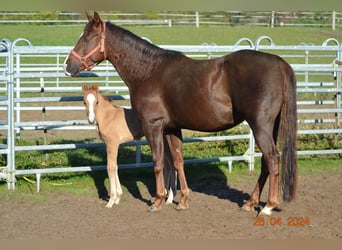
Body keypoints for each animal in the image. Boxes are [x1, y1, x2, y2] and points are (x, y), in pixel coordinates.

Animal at [64, 11, 296, 215]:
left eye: (88, 37)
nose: (68, 66)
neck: (148, 71)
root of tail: (279, 63)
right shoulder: (171, 128)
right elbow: (177, 162)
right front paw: (182, 200)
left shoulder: (153, 126)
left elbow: (158, 162)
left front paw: (157, 201)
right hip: (271, 126)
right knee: (266, 162)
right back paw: (250, 203)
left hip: (260, 125)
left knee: (272, 158)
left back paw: (268, 206)